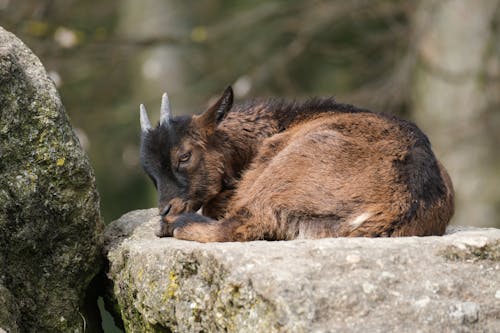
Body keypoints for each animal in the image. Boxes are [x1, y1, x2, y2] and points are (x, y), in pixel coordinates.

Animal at [139, 86, 456, 241]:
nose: (166, 208)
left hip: (280, 173)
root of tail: (398, 207)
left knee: (240, 225)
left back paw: (174, 225)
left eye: (184, 156)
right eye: (148, 171)